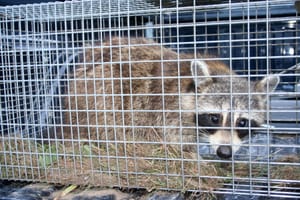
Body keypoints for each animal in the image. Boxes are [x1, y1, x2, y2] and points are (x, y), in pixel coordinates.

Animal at [62, 37, 278, 159]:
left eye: (242, 122)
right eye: (215, 118)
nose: (224, 153)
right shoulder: (169, 110)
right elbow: (175, 140)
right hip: (99, 92)